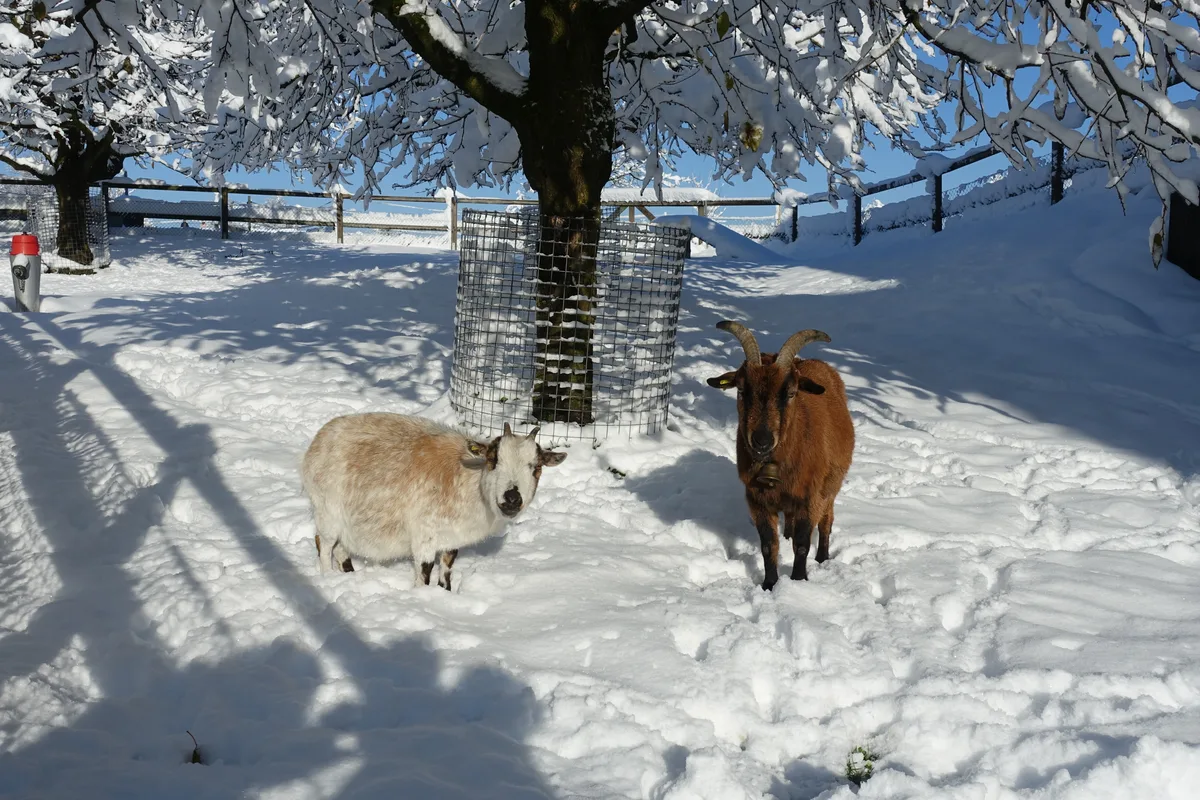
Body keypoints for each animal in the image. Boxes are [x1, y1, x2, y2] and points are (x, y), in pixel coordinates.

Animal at [302, 414, 566, 590]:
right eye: (493, 460)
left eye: (536, 467)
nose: (512, 498)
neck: (468, 483)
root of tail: (318, 440)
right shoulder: (424, 534)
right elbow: (425, 570)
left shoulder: (451, 537)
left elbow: (447, 567)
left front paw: (444, 594)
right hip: (327, 510)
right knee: (324, 544)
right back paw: (327, 578)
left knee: (340, 548)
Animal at [706, 320, 854, 590]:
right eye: (741, 389)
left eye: (792, 392)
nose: (762, 440)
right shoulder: (757, 499)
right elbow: (768, 545)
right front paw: (770, 584)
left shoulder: (810, 497)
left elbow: (803, 543)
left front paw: (798, 580)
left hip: (831, 486)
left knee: (826, 521)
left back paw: (822, 557)